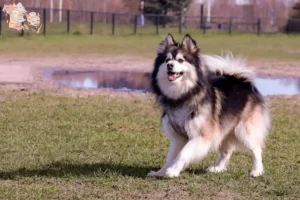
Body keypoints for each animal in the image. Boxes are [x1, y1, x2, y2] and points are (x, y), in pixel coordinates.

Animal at [149, 33, 270, 178]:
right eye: (167, 60)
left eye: (180, 60)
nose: (169, 65)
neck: (183, 96)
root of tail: (241, 80)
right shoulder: (178, 137)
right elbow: (170, 157)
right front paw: (161, 172)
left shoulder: (201, 135)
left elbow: (183, 154)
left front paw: (172, 171)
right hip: (224, 128)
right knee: (226, 151)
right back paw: (217, 168)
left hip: (244, 130)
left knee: (256, 149)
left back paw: (256, 171)